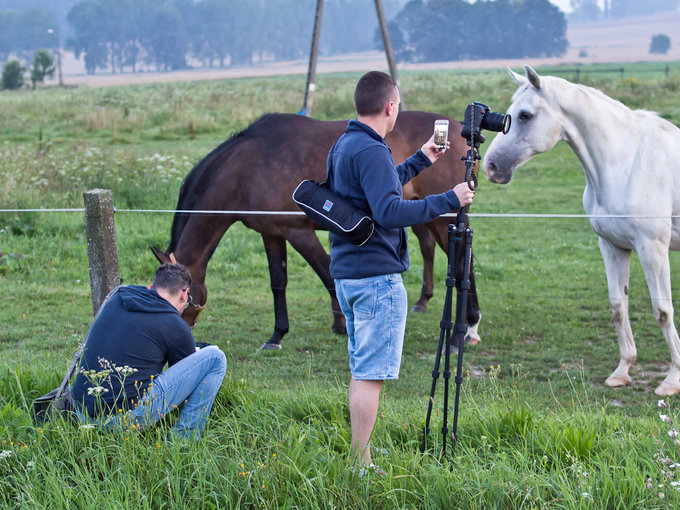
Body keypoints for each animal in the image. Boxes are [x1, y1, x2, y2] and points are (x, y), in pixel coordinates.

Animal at [153, 111, 484, 350]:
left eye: (181, 296)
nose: (182, 329)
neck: (247, 168)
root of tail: (458, 129)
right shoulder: (272, 234)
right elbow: (278, 283)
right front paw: (277, 336)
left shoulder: (299, 233)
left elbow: (327, 275)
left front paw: (341, 325)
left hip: (443, 218)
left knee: (461, 265)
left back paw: (464, 331)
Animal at [486, 64, 680, 398]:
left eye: (525, 115)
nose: (491, 166)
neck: (627, 162)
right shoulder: (613, 246)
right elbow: (618, 306)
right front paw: (622, 371)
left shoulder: (652, 248)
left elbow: (663, 311)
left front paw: (672, 380)